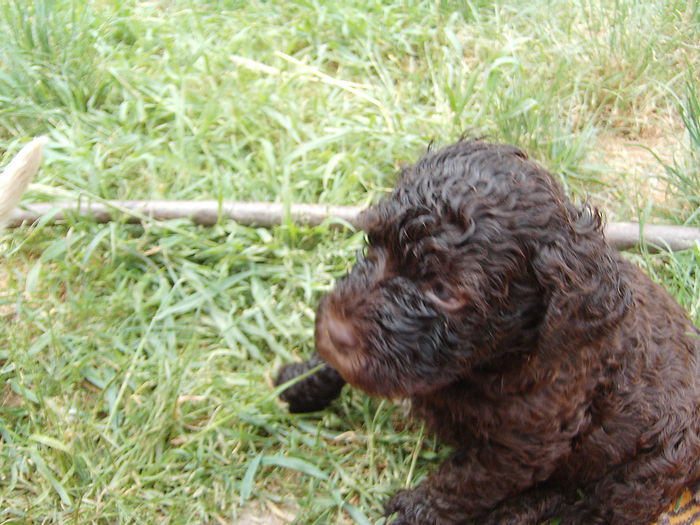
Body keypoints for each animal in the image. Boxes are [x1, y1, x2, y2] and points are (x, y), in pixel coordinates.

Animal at [274, 139, 700, 524]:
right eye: (372, 241)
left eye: (444, 292)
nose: (335, 331)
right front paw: (300, 379)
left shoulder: (523, 446)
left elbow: (462, 484)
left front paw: (415, 510)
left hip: (651, 467)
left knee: (591, 504)